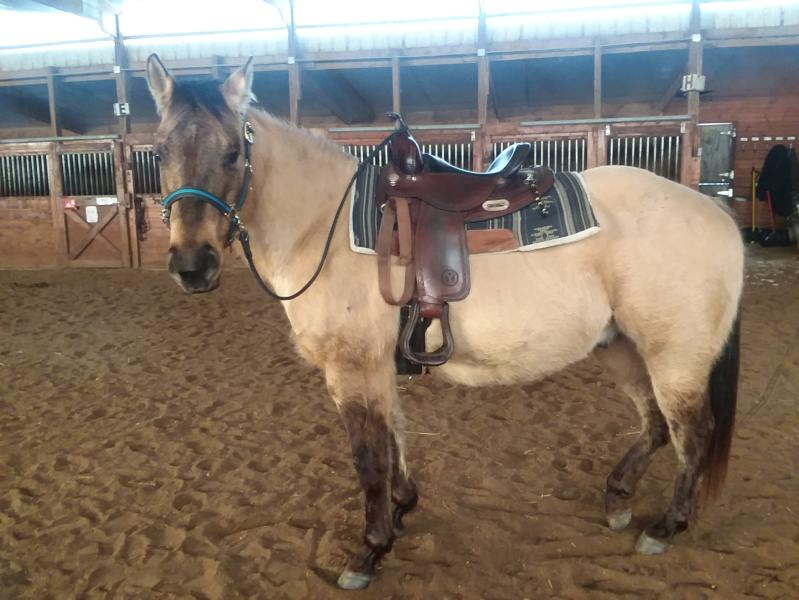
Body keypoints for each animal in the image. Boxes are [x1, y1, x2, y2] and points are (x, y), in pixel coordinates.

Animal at [145, 54, 743, 590]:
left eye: (232, 152)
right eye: (159, 150)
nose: (192, 266)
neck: (324, 227)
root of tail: (713, 212)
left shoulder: (351, 370)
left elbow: (369, 459)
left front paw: (369, 551)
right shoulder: (377, 369)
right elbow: (394, 439)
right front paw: (402, 511)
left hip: (675, 357)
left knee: (693, 433)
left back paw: (665, 527)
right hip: (622, 348)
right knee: (655, 425)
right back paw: (618, 499)